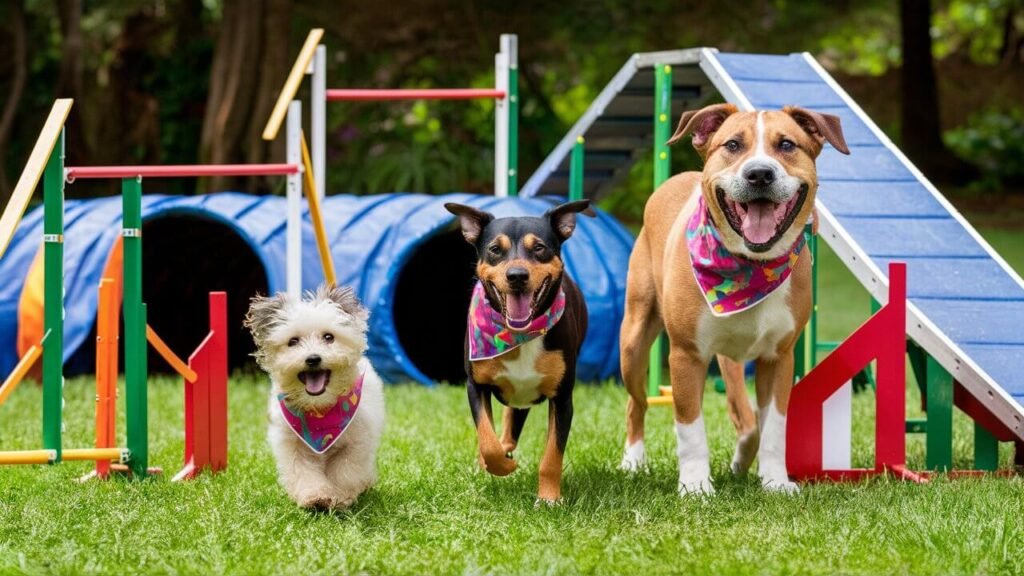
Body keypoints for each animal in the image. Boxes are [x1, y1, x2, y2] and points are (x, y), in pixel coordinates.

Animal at [243, 284, 385, 508]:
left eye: (329, 337)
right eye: (293, 341)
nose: (313, 358)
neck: (320, 409)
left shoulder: (357, 442)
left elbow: (345, 471)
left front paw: (340, 497)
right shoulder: (293, 444)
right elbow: (304, 472)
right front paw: (316, 497)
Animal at [446, 199, 593, 500]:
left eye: (539, 247)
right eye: (494, 249)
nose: (516, 276)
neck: (517, 334)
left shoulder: (563, 398)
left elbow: (552, 455)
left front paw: (548, 498)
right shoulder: (475, 385)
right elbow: (487, 439)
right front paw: (501, 465)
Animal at [622, 104, 847, 494]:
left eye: (786, 144)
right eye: (732, 144)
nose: (759, 174)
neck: (751, 264)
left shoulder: (779, 357)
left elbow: (773, 427)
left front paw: (774, 481)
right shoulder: (686, 355)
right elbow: (690, 428)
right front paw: (696, 487)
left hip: (730, 359)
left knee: (746, 417)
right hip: (634, 342)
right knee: (636, 404)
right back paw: (633, 462)